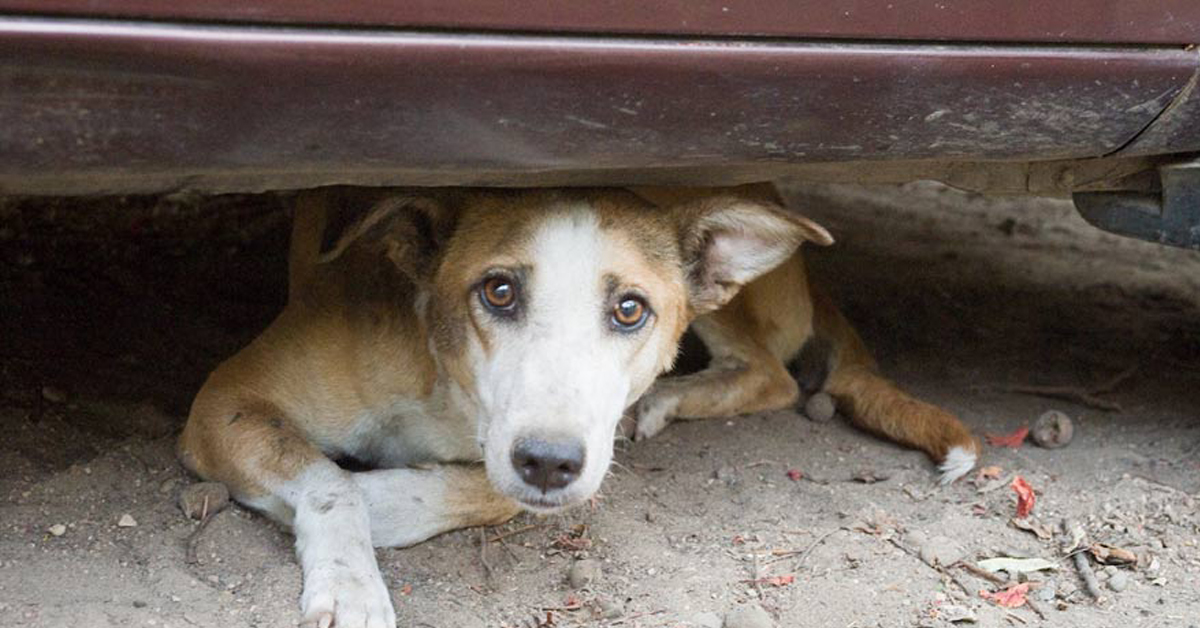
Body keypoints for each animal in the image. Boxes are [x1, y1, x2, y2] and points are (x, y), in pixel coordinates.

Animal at [180, 184, 984, 624]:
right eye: (498, 291)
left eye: (630, 309)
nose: (547, 462)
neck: (448, 388)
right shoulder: (225, 400)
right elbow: (329, 482)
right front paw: (349, 578)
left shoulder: (557, 457)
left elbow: (485, 490)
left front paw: (379, 503)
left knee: (772, 375)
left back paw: (663, 399)